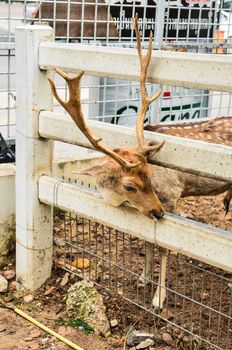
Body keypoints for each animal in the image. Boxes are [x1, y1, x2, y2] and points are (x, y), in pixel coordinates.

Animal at [47, 15, 232, 310]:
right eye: (130, 185)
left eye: (151, 175)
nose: (158, 212)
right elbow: (147, 240)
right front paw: (143, 277)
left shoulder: (172, 195)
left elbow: (164, 245)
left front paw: (158, 298)